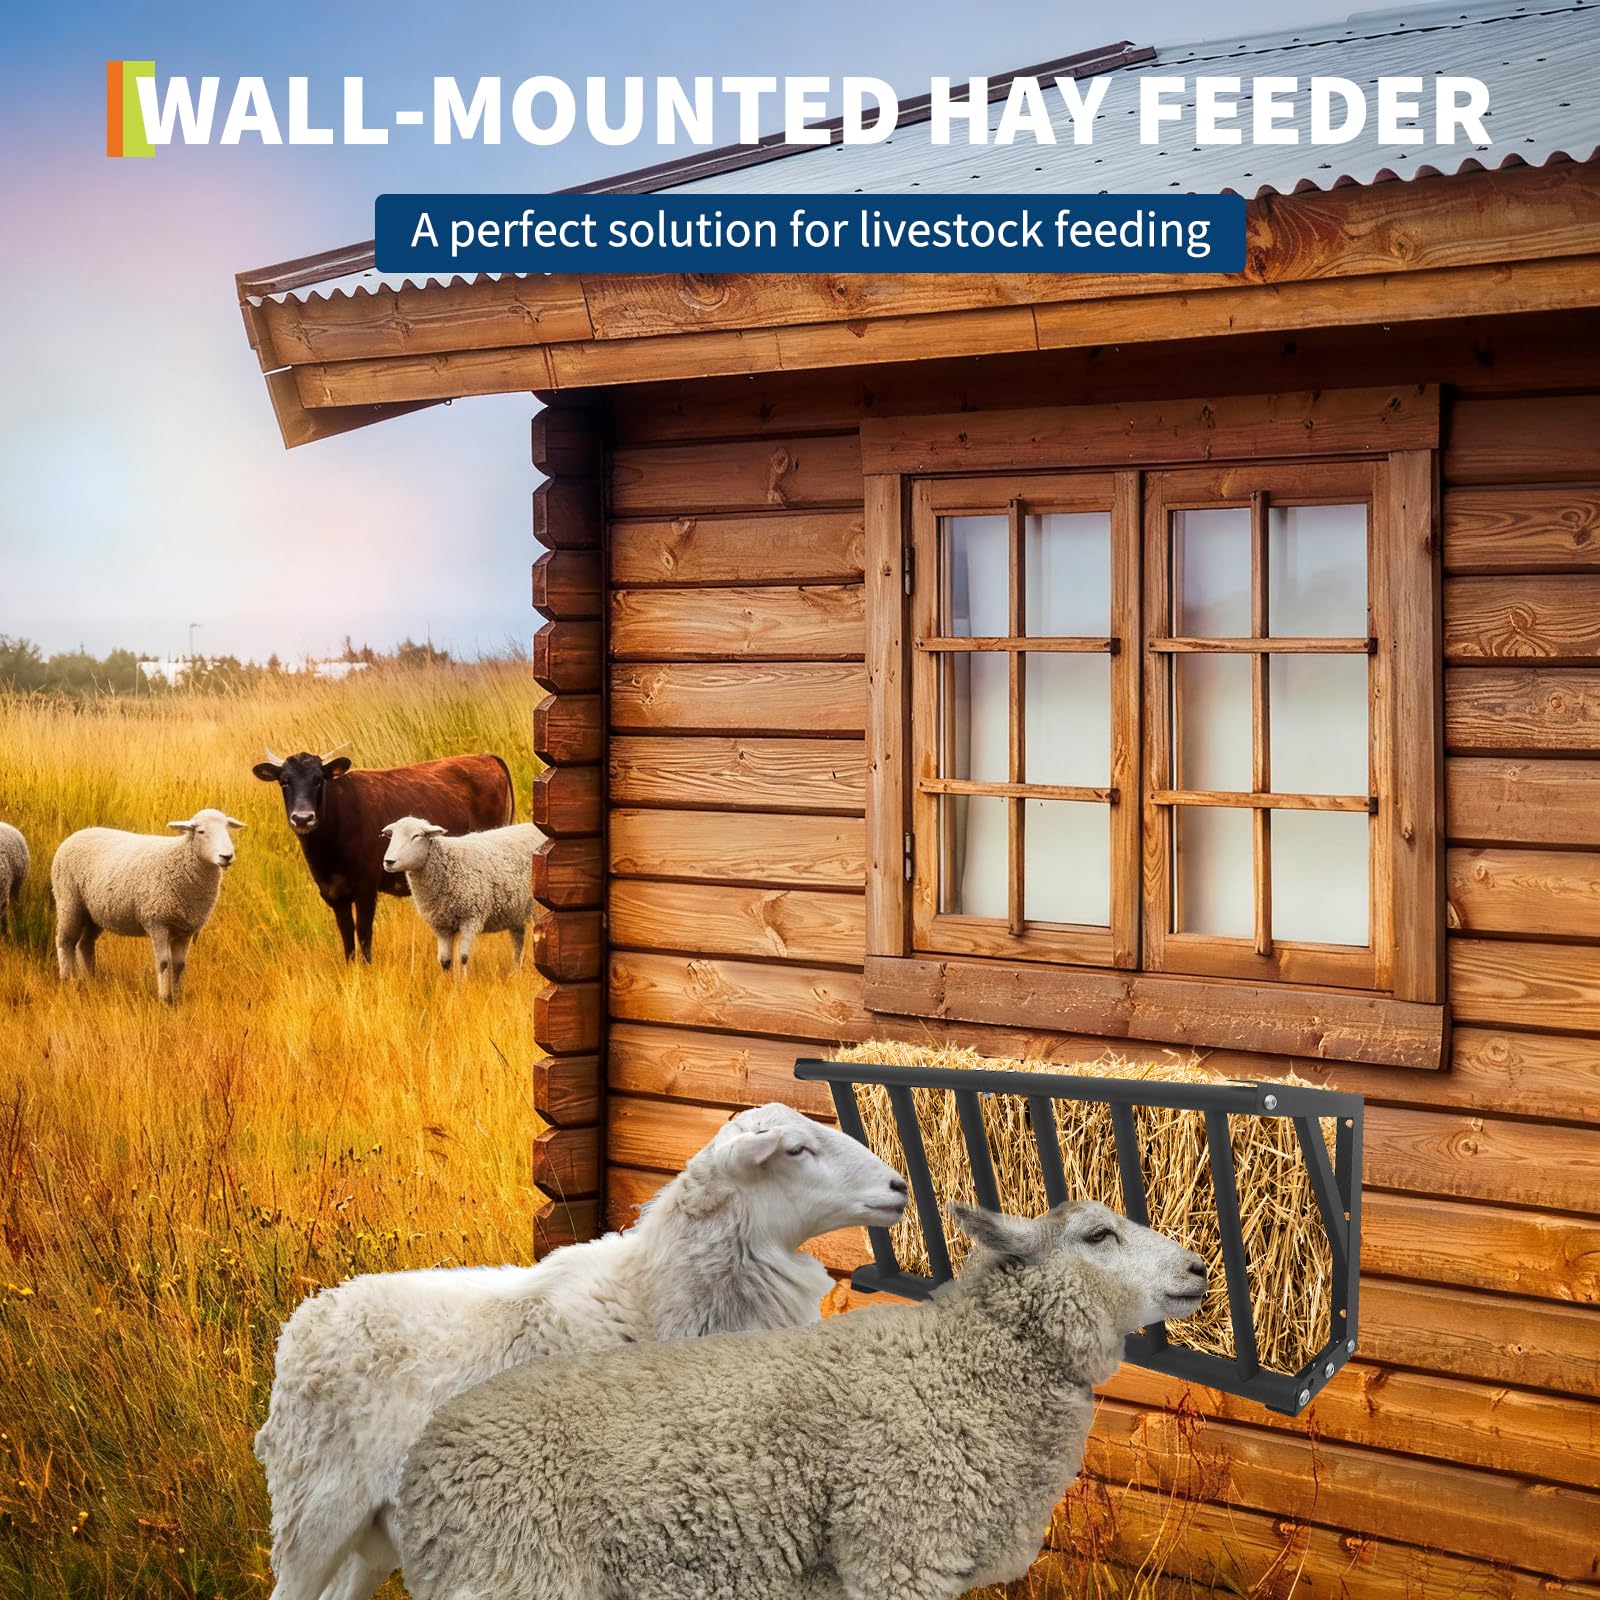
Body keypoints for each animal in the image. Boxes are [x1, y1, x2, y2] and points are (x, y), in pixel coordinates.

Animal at [50, 809, 244, 1003]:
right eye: (201, 831)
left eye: (227, 830)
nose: (227, 857)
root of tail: (77, 834)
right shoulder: (157, 922)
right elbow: (164, 963)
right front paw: (164, 998)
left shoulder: (185, 930)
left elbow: (179, 965)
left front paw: (177, 998)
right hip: (69, 901)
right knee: (65, 942)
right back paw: (68, 981)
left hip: (93, 913)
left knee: (85, 945)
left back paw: (90, 980)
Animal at [254, 1101, 909, 1600]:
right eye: (796, 1150)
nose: (898, 1186)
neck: (651, 1297)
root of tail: (308, 1315)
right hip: (313, 1513)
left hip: (375, 1531)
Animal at [379, 815, 543, 977]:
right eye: (391, 836)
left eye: (416, 836)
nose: (389, 861)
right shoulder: (441, 925)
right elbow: (444, 960)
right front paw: (446, 982)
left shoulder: (471, 918)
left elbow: (463, 957)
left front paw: (464, 982)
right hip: (516, 911)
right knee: (518, 942)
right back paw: (515, 973)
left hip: (538, 909)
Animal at [394, 1199, 1208, 1600]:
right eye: (1098, 1236)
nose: (1201, 1268)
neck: (964, 1367)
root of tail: (423, 1466)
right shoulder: (898, 1552)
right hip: (512, 1569)